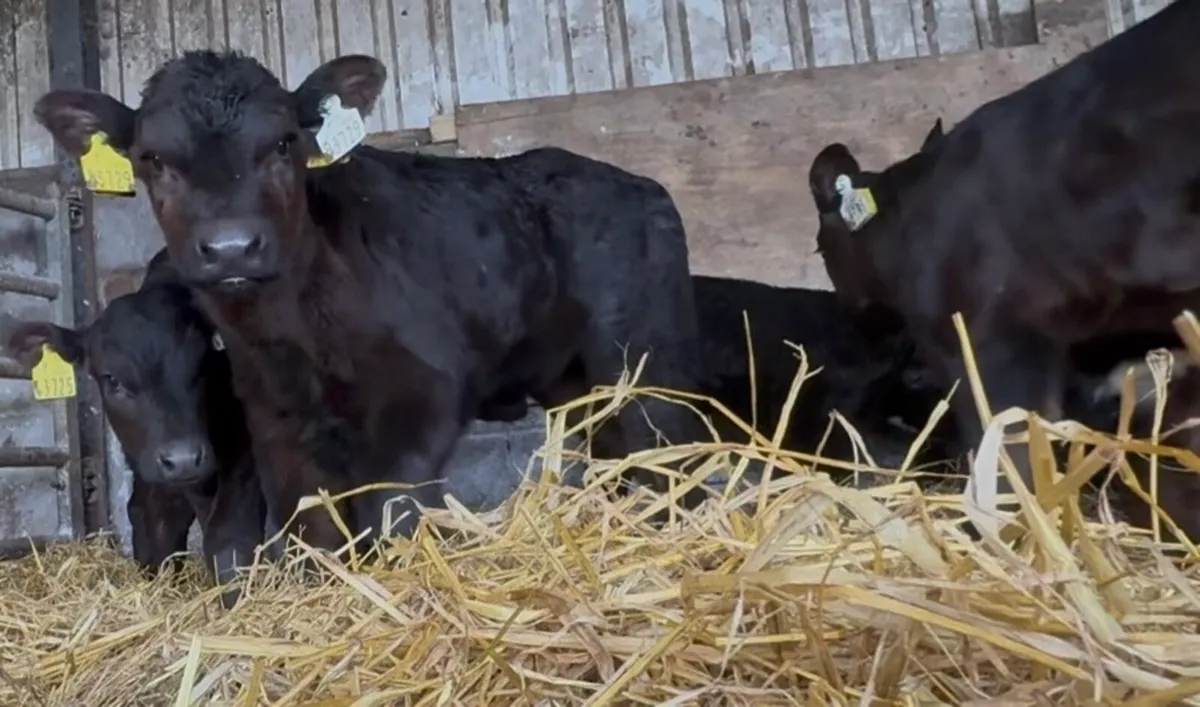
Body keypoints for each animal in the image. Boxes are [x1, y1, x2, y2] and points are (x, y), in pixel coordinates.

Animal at [5, 248, 265, 608]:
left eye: (204, 363)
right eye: (112, 380)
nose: (183, 459)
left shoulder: (245, 455)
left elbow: (229, 540)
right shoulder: (149, 471)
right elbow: (153, 525)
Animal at [32, 50, 709, 553]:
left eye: (285, 143)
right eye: (152, 159)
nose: (230, 248)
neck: (298, 335)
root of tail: (637, 183)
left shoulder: (423, 401)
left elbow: (391, 514)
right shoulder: (275, 426)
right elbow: (314, 532)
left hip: (647, 365)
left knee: (674, 458)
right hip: (580, 383)